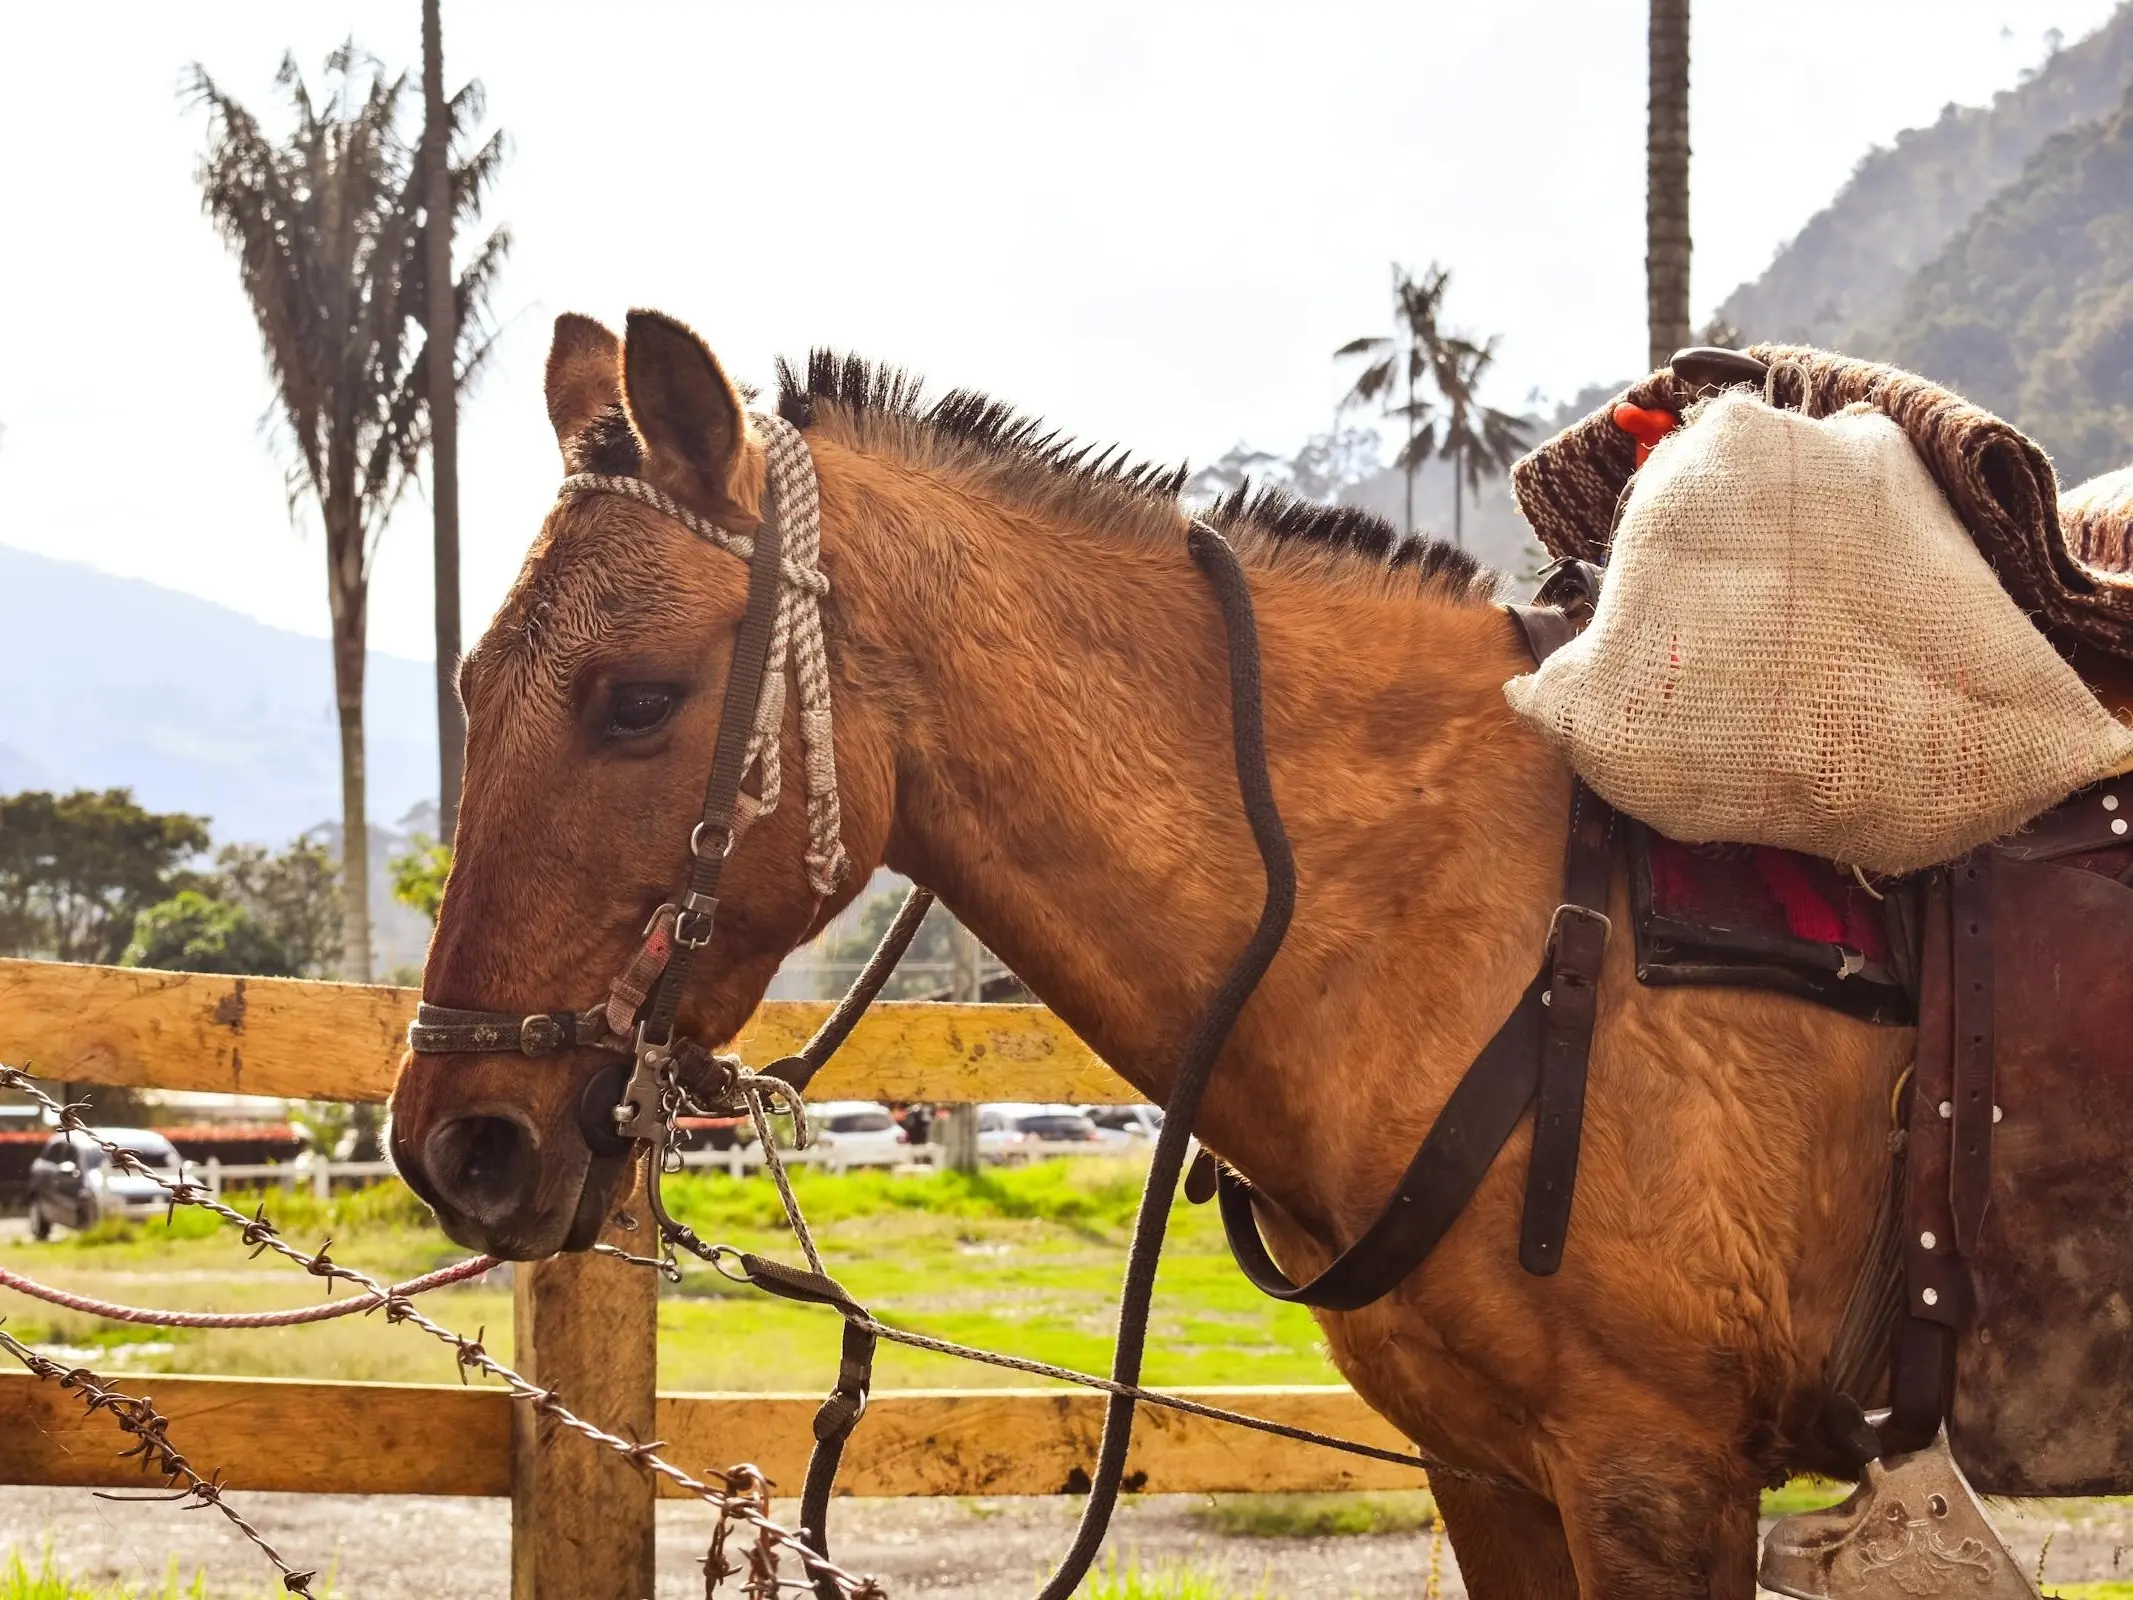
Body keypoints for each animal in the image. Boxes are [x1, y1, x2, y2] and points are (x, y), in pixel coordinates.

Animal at [389, 308, 1914, 1599]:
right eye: (469, 685)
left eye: (637, 701)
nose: (458, 1145)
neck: (1488, 922)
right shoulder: (1495, 1474)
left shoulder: (1655, 1471)